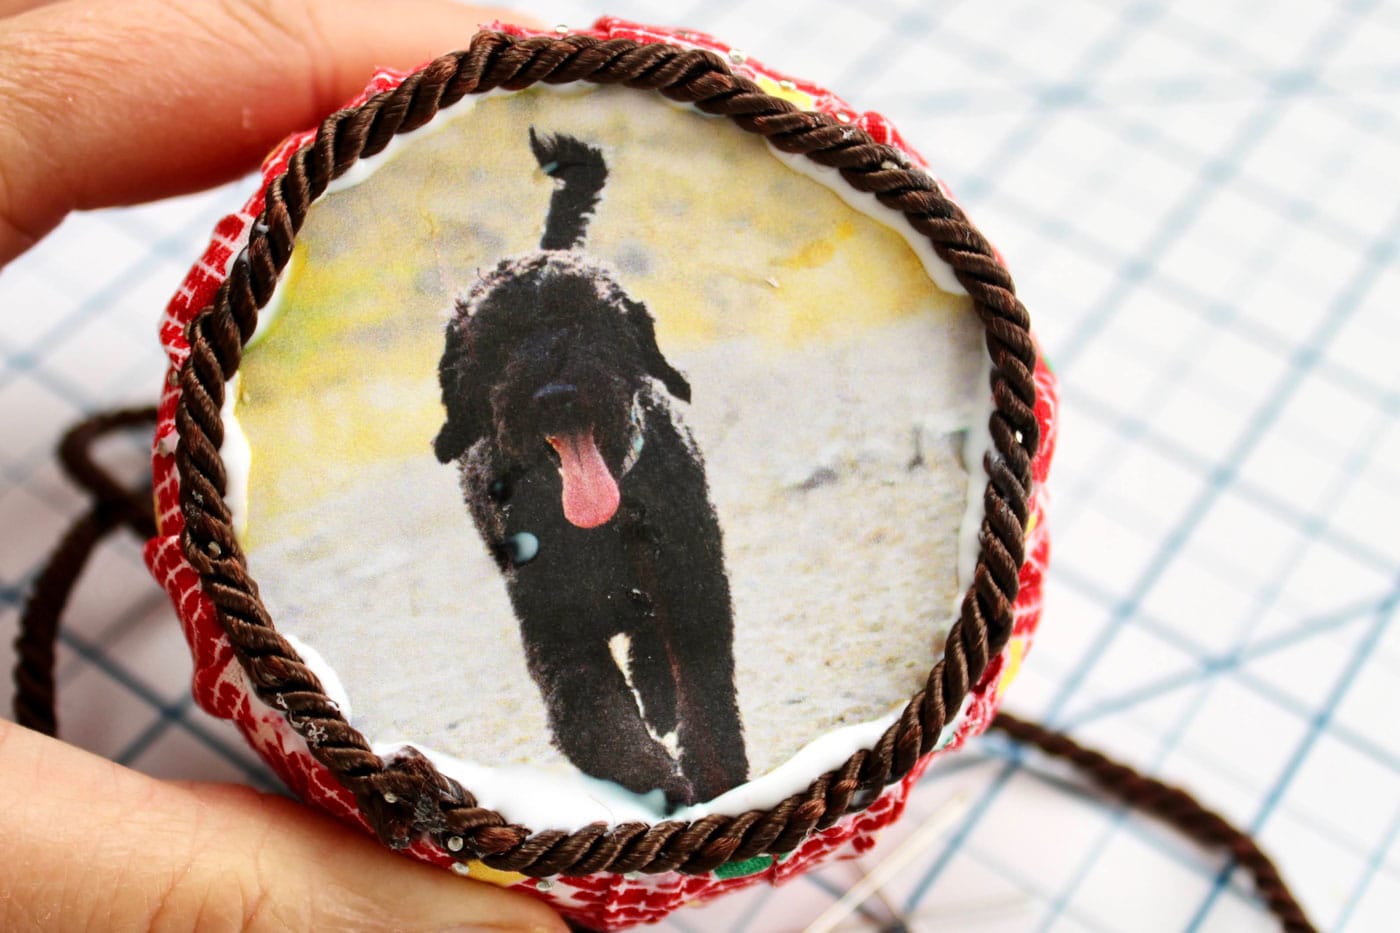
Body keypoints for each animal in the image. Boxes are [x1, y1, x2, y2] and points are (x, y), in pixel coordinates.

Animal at [434, 127, 744, 801]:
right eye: (496, 342)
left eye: (589, 319)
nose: (556, 395)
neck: (597, 527)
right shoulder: (559, 640)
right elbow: (596, 723)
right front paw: (660, 779)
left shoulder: (693, 588)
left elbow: (707, 702)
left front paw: (713, 779)